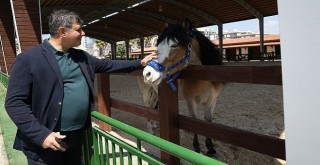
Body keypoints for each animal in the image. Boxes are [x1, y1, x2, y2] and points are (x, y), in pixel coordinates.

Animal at [136, 18, 224, 157]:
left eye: (174, 45)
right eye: (158, 45)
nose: (147, 73)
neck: (202, 79)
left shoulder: (212, 101)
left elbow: (207, 122)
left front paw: (210, 148)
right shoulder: (190, 101)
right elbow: (194, 122)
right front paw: (197, 148)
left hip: (155, 93)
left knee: (154, 106)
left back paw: (155, 125)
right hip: (146, 92)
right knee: (147, 107)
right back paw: (150, 129)